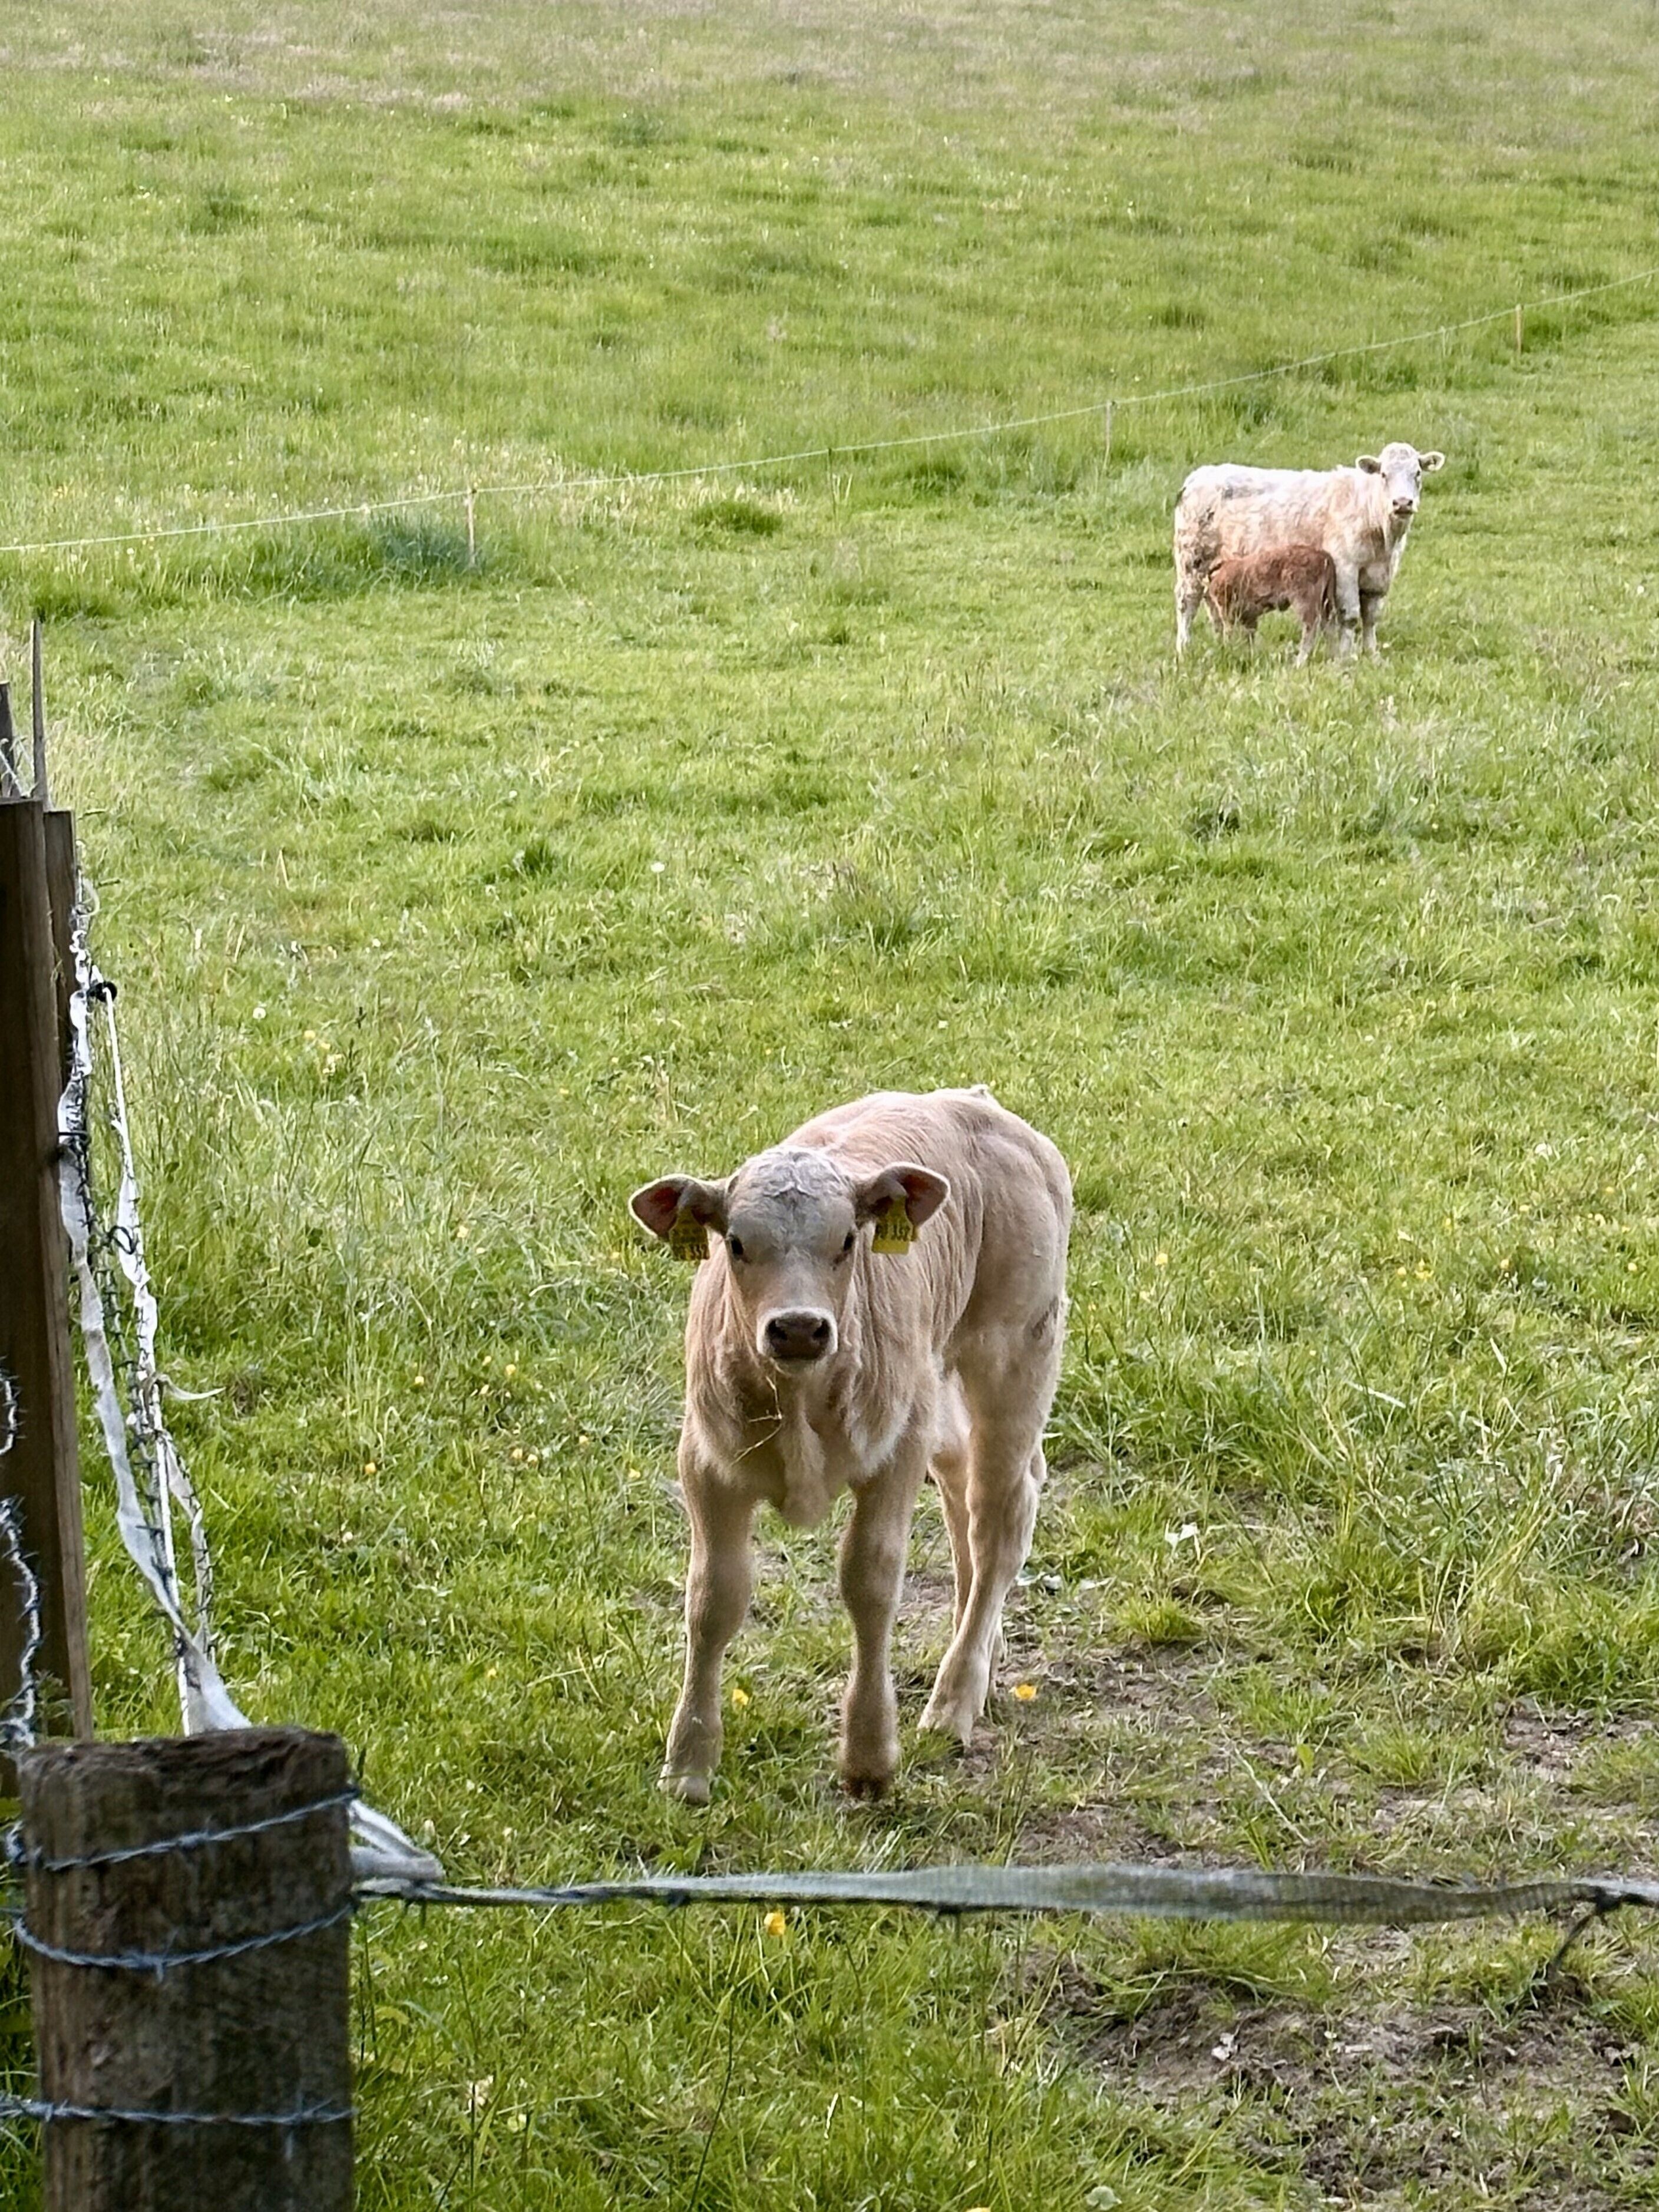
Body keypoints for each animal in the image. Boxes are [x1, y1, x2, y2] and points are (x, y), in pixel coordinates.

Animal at [631, 1087, 1071, 1804]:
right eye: (735, 1242)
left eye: (846, 1239)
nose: (797, 1327)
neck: (800, 1399)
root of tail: (971, 1100)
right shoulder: (706, 1461)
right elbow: (713, 1599)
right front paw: (689, 1764)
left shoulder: (894, 1453)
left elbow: (869, 1583)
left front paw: (869, 1756)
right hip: (938, 1384)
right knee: (963, 1492)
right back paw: (980, 1649)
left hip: (1016, 1351)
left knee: (999, 1517)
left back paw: (955, 1698)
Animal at [1202, 543, 1340, 665]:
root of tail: (1324, 555)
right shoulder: (1249, 618)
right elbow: (1249, 638)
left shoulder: (1228, 613)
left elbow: (1229, 633)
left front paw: (1228, 650)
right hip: (1325, 603)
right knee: (1329, 627)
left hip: (1304, 603)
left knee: (1311, 628)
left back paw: (1299, 662)